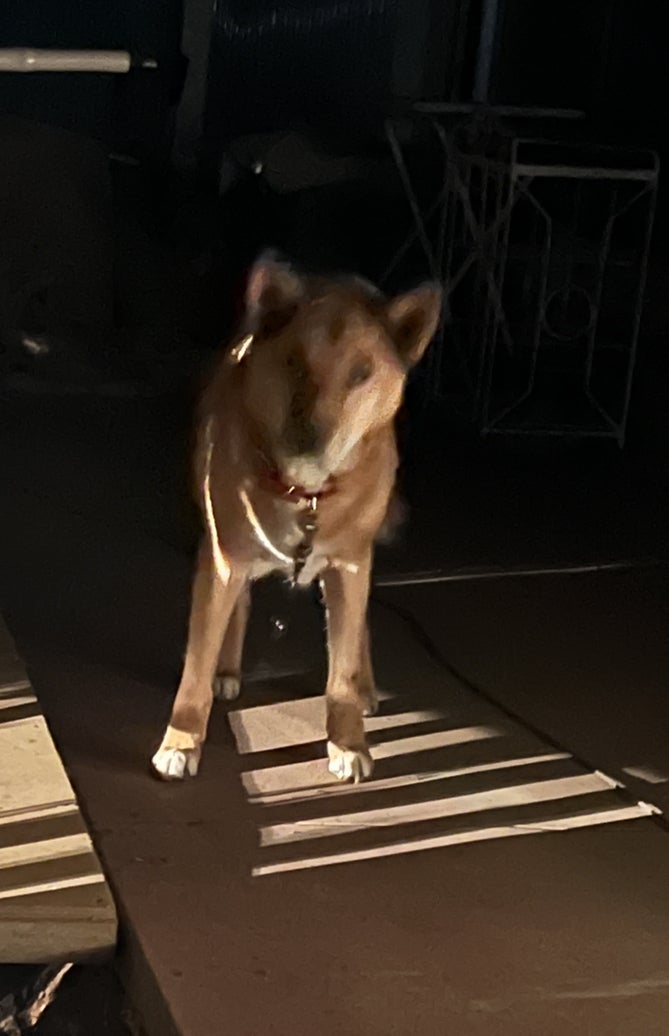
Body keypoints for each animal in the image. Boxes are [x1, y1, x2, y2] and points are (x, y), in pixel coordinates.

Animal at [152, 253, 441, 783]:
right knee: (239, 607)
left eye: (361, 373)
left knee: (358, 629)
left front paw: (348, 742)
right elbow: (196, 668)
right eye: (293, 363)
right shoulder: (222, 560)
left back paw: (365, 687)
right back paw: (228, 669)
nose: (311, 437)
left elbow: (341, 670)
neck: (305, 495)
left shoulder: (349, 566)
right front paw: (181, 742)